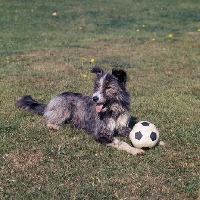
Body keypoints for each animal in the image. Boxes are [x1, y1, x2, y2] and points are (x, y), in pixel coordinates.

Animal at [14, 67, 145, 155]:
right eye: (97, 86)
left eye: (108, 87)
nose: (94, 98)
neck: (113, 111)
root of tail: (53, 99)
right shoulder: (101, 133)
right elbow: (120, 142)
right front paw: (135, 150)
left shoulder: (123, 127)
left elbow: (132, 132)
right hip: (63, 109)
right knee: (46, 118)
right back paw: (53, 126)